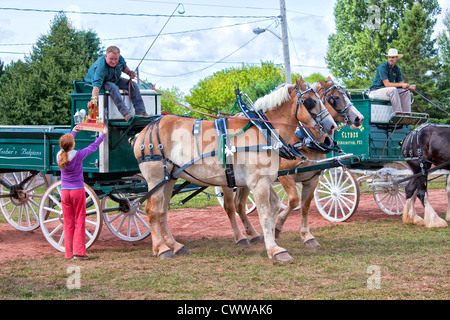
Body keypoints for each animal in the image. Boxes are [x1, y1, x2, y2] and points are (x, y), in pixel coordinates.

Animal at [132, 77, 336, 262]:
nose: (332, 125)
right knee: (152, 210)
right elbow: (264, 215)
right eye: (312, 101)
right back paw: (161, 248)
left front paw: (272, 236)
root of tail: (143, 132)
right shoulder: (259, 183)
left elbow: (274, 209)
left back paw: (175, 246)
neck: (264, 130)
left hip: (170, 178)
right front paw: (275, 249)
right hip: (156, 178)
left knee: (162, 211)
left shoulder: (265, 181)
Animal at [227, 77, 364, 248]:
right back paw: (241, 237)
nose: (359, 118)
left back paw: (253, 234)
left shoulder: (312, 178)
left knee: (239, 205)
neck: (303, 138)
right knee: (230, 207)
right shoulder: (284, 176)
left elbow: (304, 205)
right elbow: (292, 200)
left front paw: (307, 236)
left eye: (348, 95)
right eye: (336, 98)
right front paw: (277, 226)